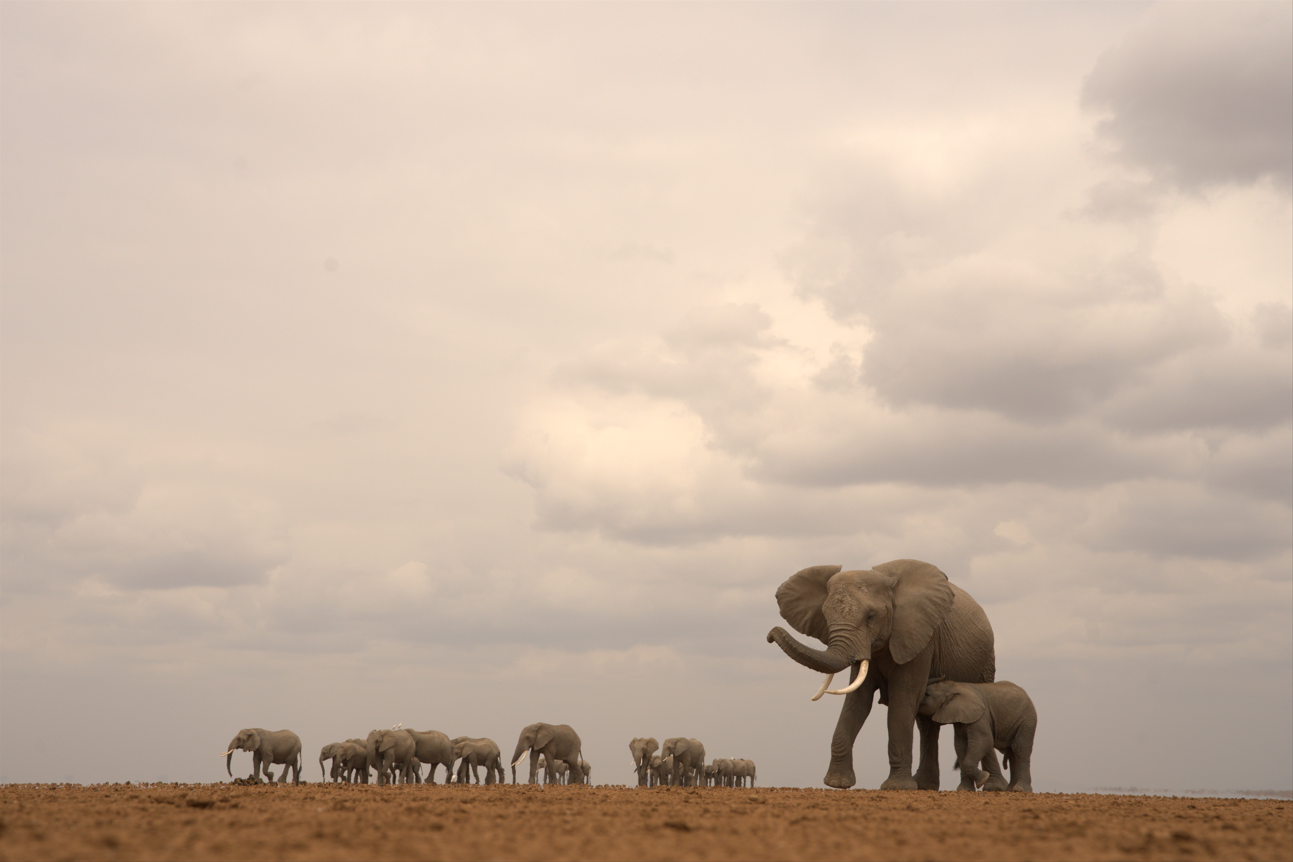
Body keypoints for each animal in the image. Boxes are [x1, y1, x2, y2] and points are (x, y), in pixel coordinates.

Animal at [767, 560, 999, 790]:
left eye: (871, 617)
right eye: (825, 616)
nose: (770, 634)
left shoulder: (918, 639)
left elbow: (902, 699)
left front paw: (897, 787)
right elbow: (857, 701)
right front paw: (837, 783)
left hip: (986, 661)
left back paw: (991, 787)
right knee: (926, 724)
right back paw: (925, 785)